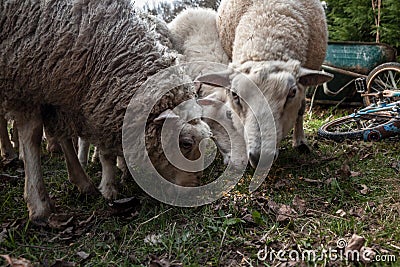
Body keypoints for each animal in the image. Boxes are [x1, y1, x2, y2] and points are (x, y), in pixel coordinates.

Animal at [0, 0, 211, 226]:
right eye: (186, 143)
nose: (194, 190)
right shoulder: (25, 83)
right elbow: (32, 135)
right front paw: (40, 205)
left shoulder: (62, 92)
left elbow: (64, 136)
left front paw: (82, 181)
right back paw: (11, 154)